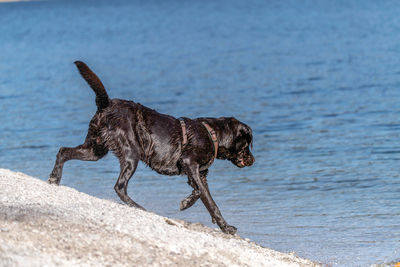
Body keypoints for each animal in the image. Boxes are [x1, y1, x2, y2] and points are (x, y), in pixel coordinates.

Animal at [48, 61, 255, 236]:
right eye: (248, 144)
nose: (253, 160)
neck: (213, 134)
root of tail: (107, 105)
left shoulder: (201, 174)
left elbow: (210, 202)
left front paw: (225, 227)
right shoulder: (189, 163)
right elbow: (200, 193)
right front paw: (186, 203)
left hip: (95, 150)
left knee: (63, 150)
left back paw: (54, 178)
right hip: (131, 154)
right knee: (119, 186)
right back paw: (139, 208)